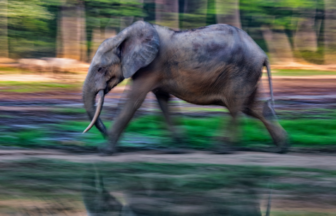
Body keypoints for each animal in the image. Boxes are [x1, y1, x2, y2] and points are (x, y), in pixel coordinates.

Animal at [82, 20, 288, 155]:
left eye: (100, 69)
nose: (104, 133)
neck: (122, 37)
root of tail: (262, 53)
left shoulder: (152, 66)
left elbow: (132, 100)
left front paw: (104, 151)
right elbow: (163, 99)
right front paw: (179, 146)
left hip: (242, 71)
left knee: (236, 106)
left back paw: (220, 148)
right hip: (249, 73)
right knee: (254, 107)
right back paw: (282, 146)